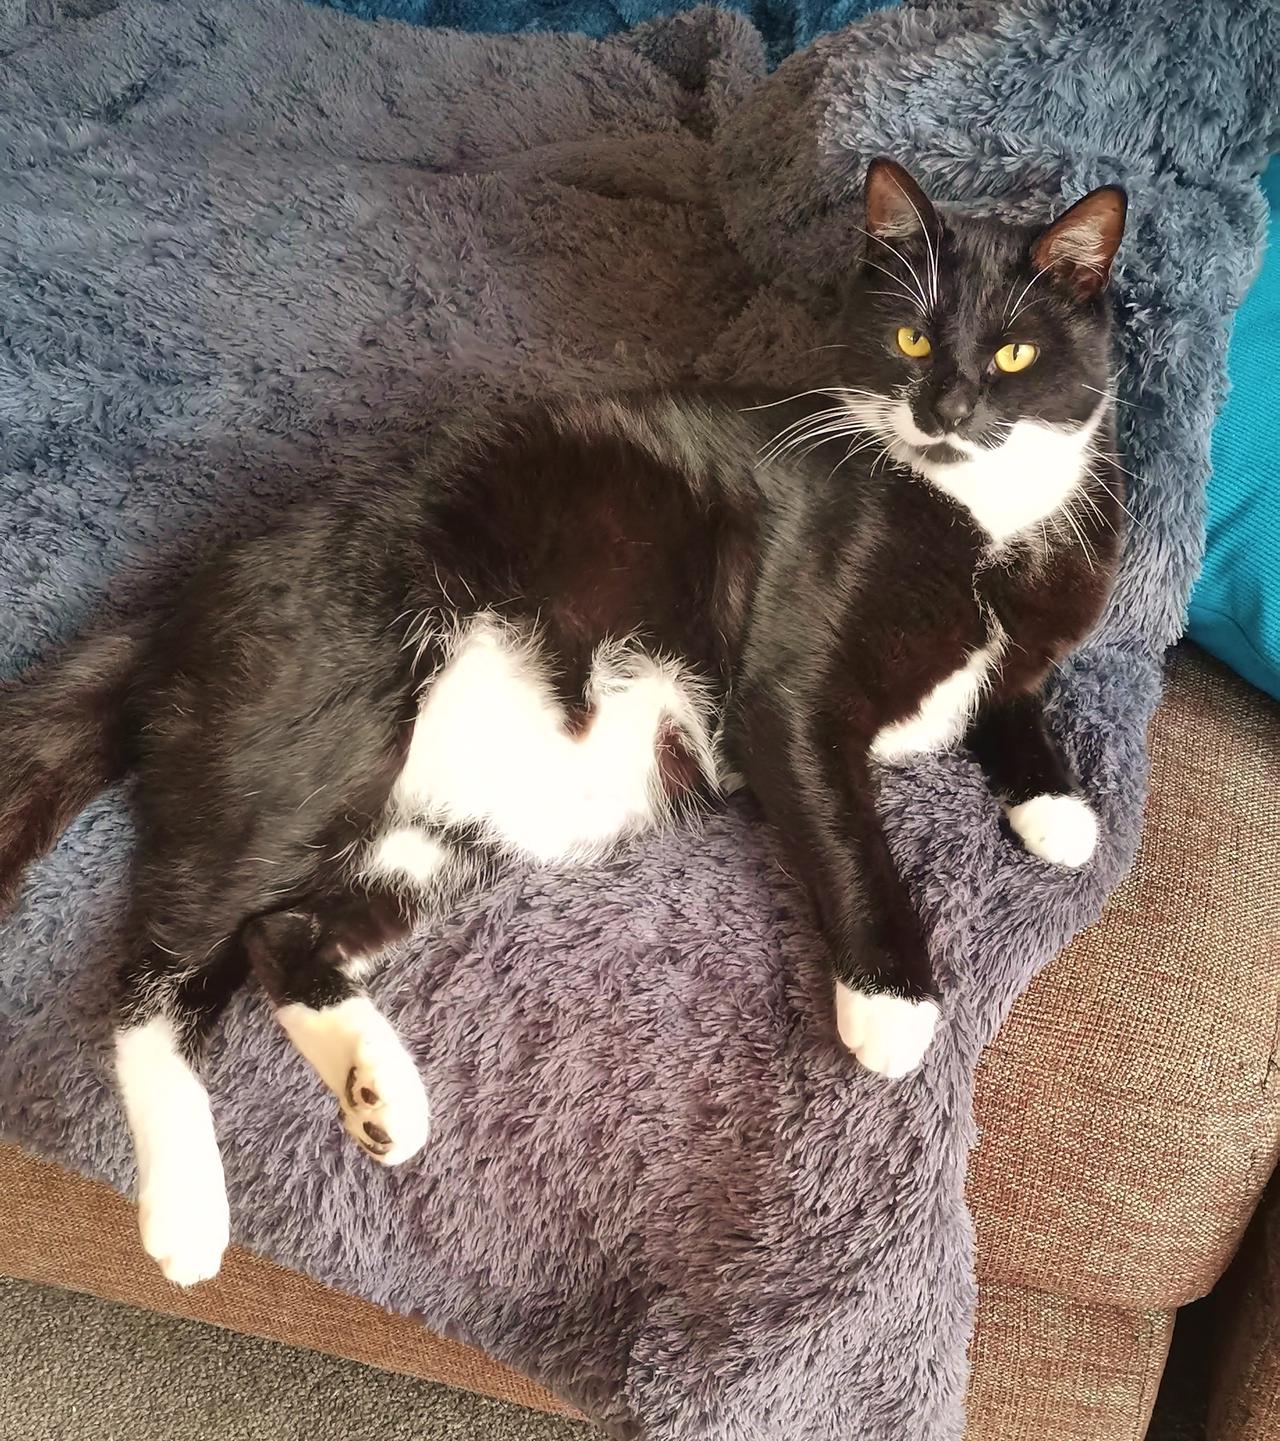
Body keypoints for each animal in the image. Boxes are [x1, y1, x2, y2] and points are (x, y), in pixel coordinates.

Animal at [0, 159, 1128, 1286]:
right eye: (909, 339)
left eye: (1014, 352)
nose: (945, 406)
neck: (979, 521)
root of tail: (179, 604)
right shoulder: (790, 692)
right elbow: (851, 835)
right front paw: (891, 1000)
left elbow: (1009, 696)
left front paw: (1058, 806)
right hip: (323, 737)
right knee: (154, 972)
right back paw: (186, 1210)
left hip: (429, 839)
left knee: (276, 933)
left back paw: (376, 1090)